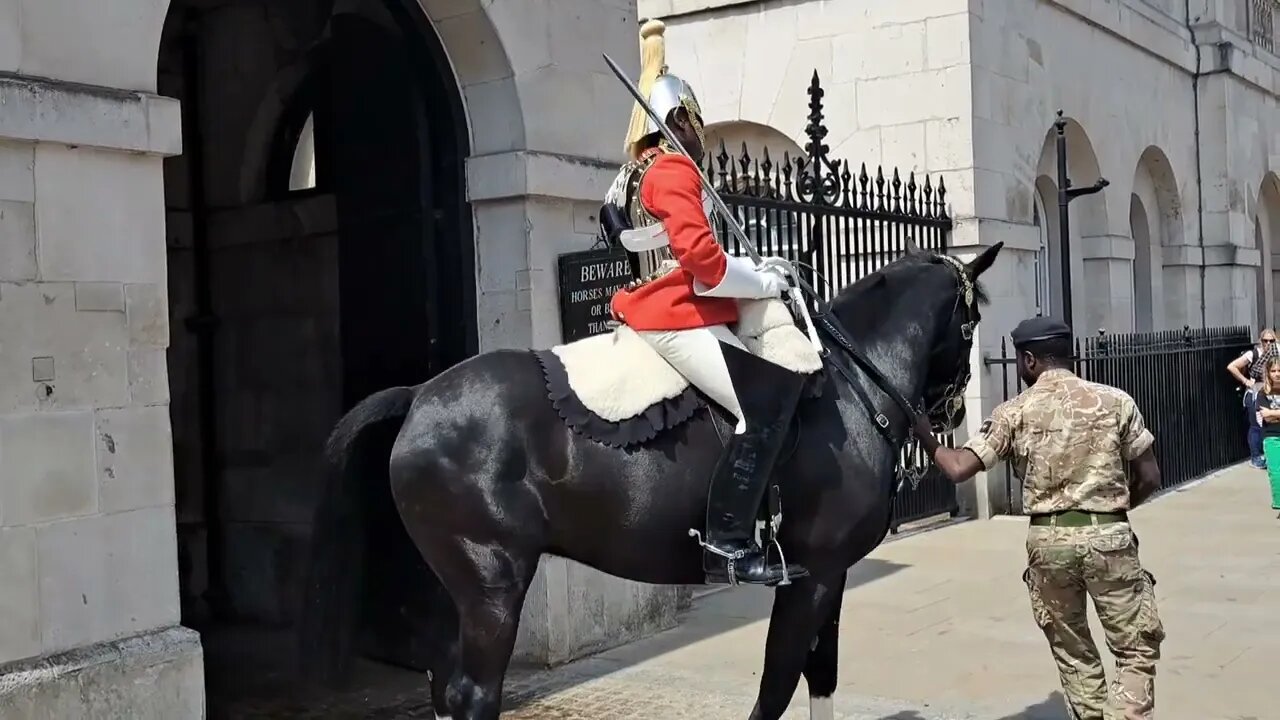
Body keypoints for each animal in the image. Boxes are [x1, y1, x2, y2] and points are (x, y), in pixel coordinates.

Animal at [296, 243, 998, 712]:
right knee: (473, 692)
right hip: (493, 585)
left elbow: (818, 677)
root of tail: (420, 395)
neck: (851, 386)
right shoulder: (814, 575)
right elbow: (777, 683)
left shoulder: (832, 574)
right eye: (969, 325)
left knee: (445, 685)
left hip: (456, 589)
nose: (949, 413)